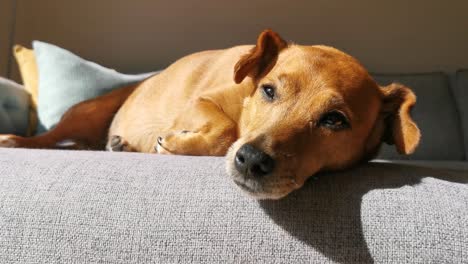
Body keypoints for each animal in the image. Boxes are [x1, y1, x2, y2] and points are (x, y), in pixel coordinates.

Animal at [0, 29, 420, 199]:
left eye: (335, 120)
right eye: (269, 90)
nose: (251, 159)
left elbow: (225, 134)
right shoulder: (201, 103)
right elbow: (225, 130)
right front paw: (175, 143)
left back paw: (118, 146)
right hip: (86, 112)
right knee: (49, 138)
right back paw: (18, 139)